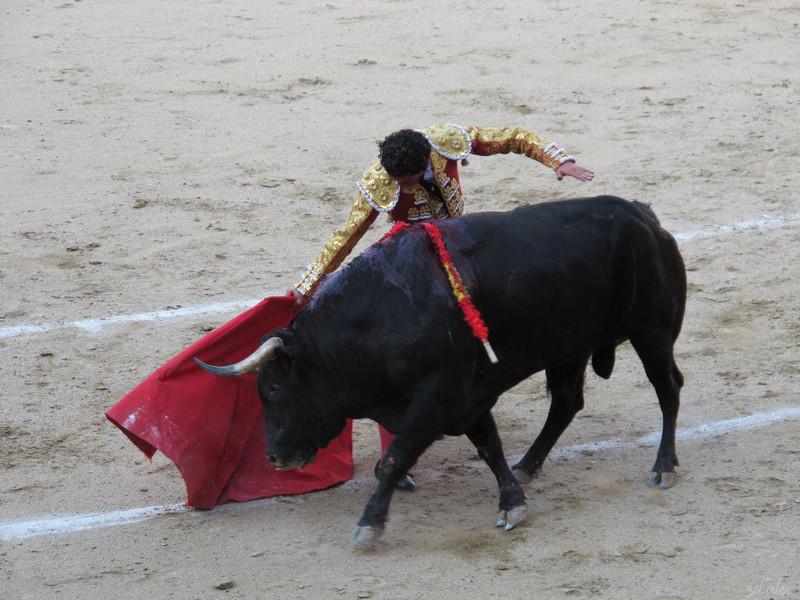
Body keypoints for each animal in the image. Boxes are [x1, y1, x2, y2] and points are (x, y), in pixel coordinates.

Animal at [197, 196, 684, 544]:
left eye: (274, 389)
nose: (274, 456)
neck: (380, 317)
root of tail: (645, 216)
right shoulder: (466, 397)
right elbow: (489, 446)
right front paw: (513, 499)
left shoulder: (440, 396)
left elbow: (396, 458)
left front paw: (369, 525)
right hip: (568, 348)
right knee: (566, 402)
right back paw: (530, 464)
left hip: (652, 333)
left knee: (668, 388)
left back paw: (663, 467)